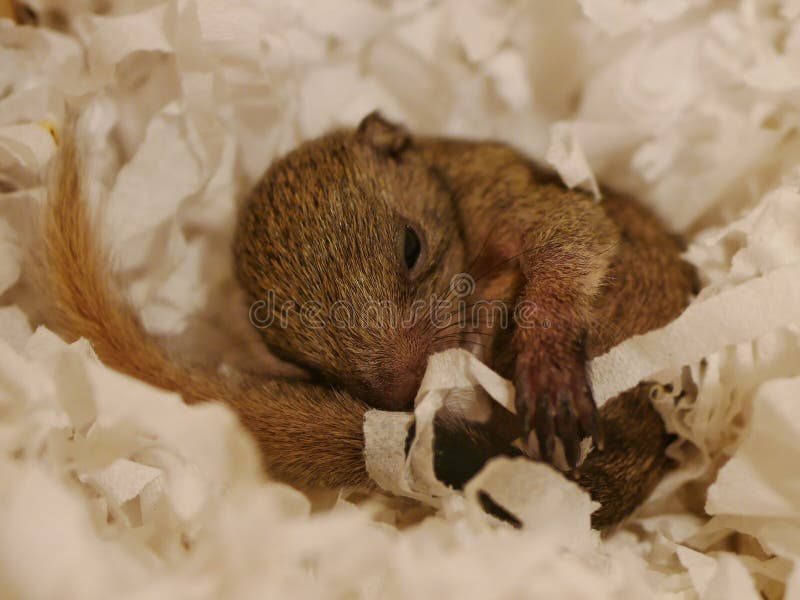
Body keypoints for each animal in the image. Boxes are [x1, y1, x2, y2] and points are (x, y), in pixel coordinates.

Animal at [42, 112, 697, 529]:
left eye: (411, 247)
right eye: (298, 358)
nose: (406, 388)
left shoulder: (502, 191)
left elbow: (573, 234)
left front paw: (549, 362)